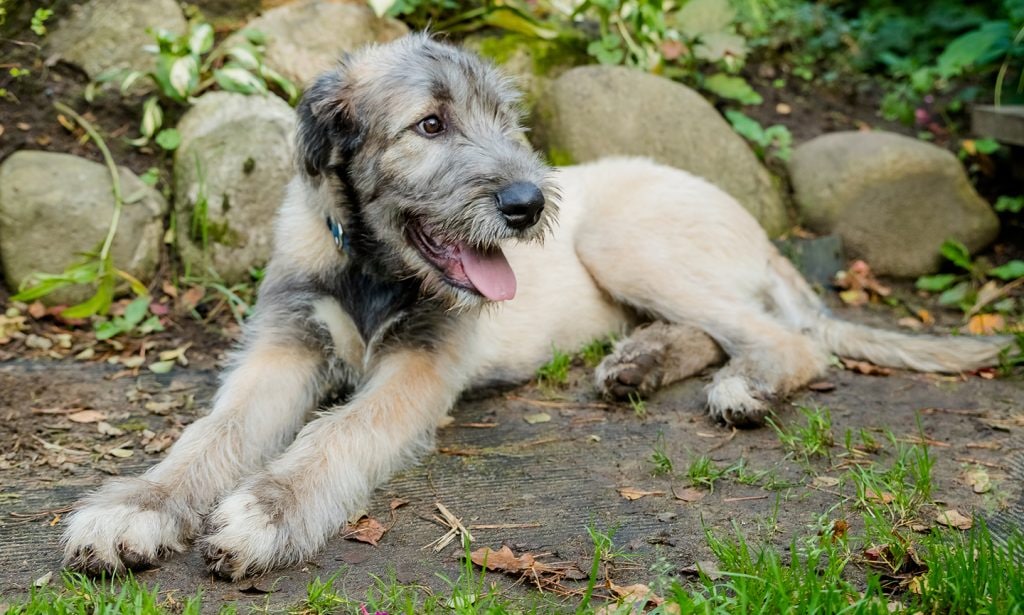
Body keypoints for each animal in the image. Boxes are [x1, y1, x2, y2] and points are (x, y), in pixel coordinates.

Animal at [61, 34, 1007, 581]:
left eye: (505, 120)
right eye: (431, 125)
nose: (528, 203)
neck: (372, 264)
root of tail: (746, 215)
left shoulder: (421, 366)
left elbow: (338, 432)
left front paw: (269, 511)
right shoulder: (283, 346)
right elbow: (212, 434)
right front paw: (136, 506)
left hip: (628, 241)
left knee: (790, 340)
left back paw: (746, 386)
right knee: (711, 332)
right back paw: (639, 364)